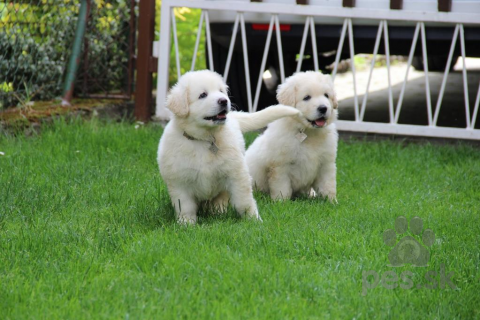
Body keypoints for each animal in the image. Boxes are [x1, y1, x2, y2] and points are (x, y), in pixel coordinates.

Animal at [158, 70, 300, 225]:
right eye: (203, 95)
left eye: (221, 91)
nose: (224, 100)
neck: (205, 140)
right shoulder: (179, 181)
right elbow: (185, 206)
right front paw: (187, 224)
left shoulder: (235, 173)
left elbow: (244, 201)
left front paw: (254, 220)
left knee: (222, 196)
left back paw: (219, 211)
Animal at [246, 72, 340, 202]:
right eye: (307, 97)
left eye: (326, 95)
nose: (323, 108)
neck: (308, 133)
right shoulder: (280, 165)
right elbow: (282, 187)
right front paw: (281, 202)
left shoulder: (326, 163)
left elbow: (328, 185)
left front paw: (331, 202)